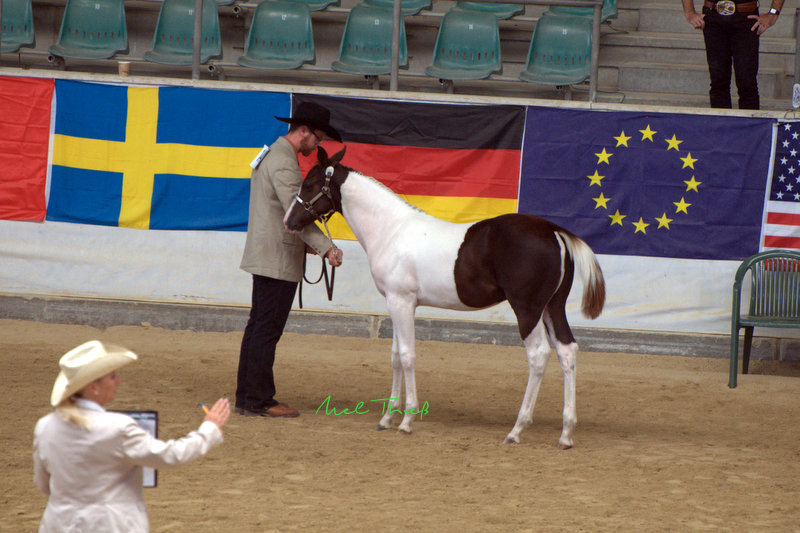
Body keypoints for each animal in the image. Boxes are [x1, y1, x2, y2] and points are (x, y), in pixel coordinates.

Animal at [284, 147, 604, 448]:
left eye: (309, 183)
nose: (289, 221)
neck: (391, 230)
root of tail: (554, 230)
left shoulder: (401, 301)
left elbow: (407, 356)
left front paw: (406, 421)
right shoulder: (396, 304)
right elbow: (395, 356)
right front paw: (387, 418)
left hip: (528, 310)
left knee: (538, 355)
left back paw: (517, 430)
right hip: (553, 308)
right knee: (567, 351)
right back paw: (566, 433)